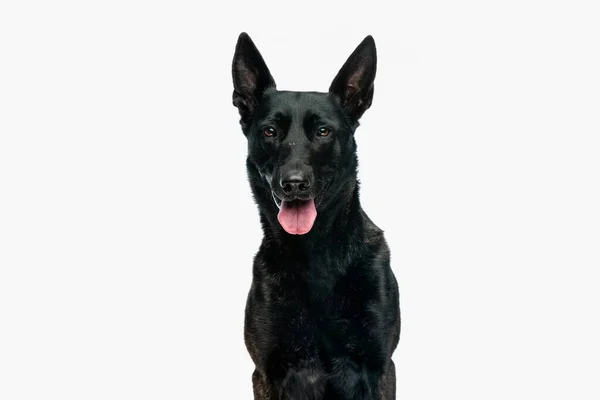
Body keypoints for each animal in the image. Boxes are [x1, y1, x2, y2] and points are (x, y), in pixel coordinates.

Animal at [232, 32, 400, 400]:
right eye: (269, 132)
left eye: (323, 131)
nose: (294, 183)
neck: (315, 254)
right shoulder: (266, 372)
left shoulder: (380, 367)